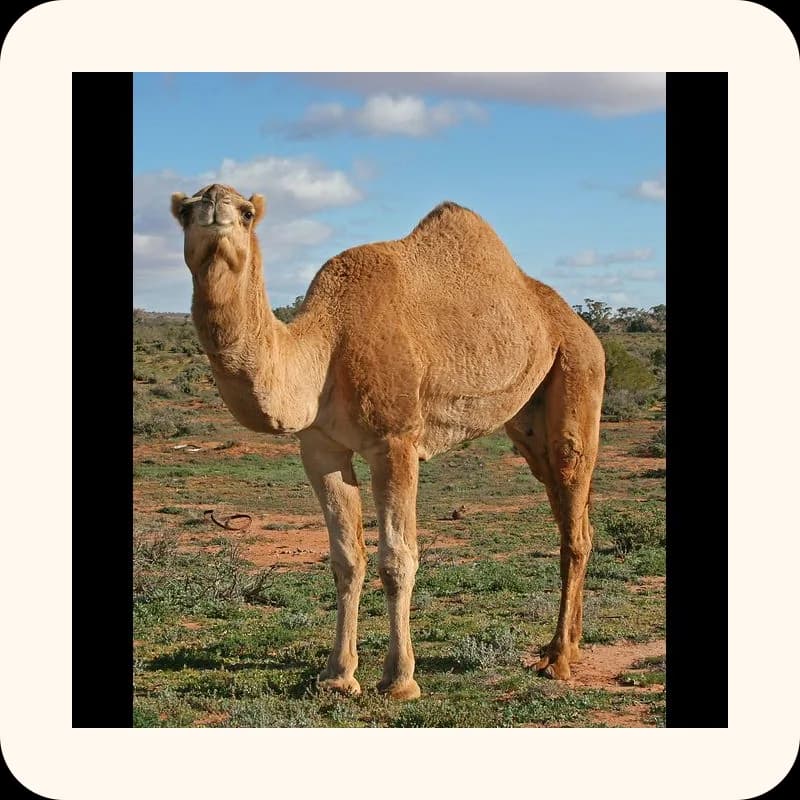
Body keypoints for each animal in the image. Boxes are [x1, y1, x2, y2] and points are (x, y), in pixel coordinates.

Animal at [171, 183, 605, 700]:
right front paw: (338, 676)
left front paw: (399, 679)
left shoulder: (396, 442)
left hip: (579, 370)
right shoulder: (320, 448)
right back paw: (567, 646)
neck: (325, 347)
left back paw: (558, 660)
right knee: (570, 513)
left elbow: (397, 559)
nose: (215, 204)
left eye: (247, 212)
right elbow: (346, 558)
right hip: (528, 418)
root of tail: (578, 323)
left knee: (573, 510)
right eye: (185, 211)